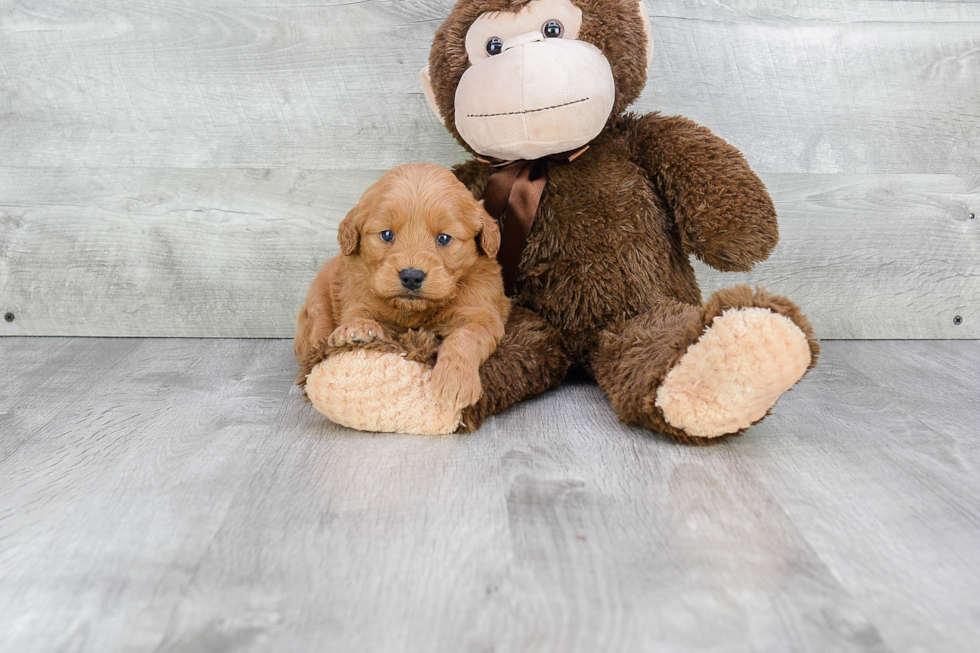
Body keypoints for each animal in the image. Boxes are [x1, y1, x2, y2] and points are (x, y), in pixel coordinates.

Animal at [292, 163, 510, 410]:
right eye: (387, 234)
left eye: (444, 238)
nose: (412, 276)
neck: (414, 311)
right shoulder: (357, 299)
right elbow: (359, 316)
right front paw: (357, 331)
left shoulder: (482, 316)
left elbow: (464, 337)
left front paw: (455, 382)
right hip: (318, 301)